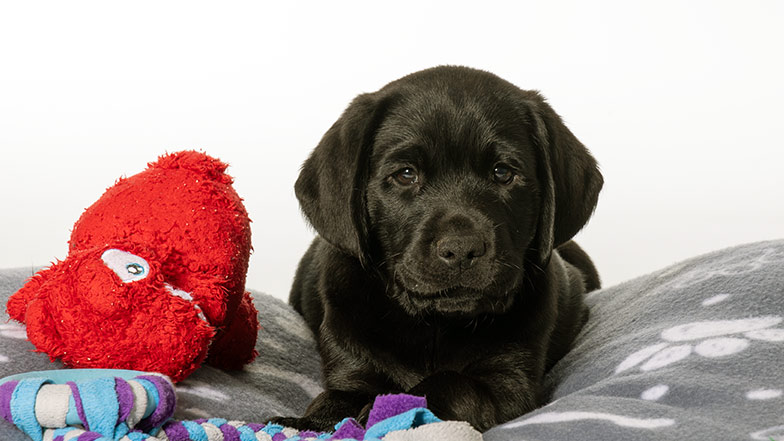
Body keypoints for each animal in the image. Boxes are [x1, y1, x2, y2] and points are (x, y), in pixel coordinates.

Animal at [280, 65, 600, 430]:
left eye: (503, 172)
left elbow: (453, 383)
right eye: (406, 174)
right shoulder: (352, 365)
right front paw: (306, 421)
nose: (461, 249)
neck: (435, 325)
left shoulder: (511, 383)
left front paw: (392, 406)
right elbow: (333, 398)